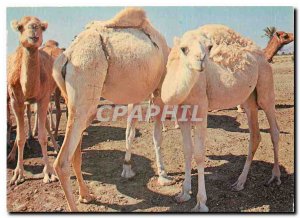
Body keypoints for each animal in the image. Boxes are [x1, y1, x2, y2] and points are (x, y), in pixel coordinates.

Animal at [7, 16, 58, 185]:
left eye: (42, 27)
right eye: (20, 27)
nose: (34, 28)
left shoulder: (43, 98)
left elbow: (42, 137)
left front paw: (49, 172)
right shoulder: (15, 100)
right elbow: (19, 137)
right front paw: (18, 174)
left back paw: (57, 146)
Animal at [52, 8, 172, 211]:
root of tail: (66, 57)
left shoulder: (135, 94)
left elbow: (130, 131)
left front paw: (127, 168)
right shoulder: (158, 89)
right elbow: (157, 136)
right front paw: (163, 175)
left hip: (74, 101)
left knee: (76, 152)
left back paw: (86, 195)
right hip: (87, 83)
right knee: (62, 162)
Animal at [162, 24, 282, 212]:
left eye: (209, 47)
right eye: (184, 48)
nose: (201, 60)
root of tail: (262, 55)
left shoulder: (201, 108)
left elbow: (199, 154)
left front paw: (201, 203)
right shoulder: (181, 112)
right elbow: (187, 150)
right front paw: (183, 193)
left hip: (265, 83)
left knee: (274, 130)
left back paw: (275, 177)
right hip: (248, 99)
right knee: (255, 135)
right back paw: (239, 182)